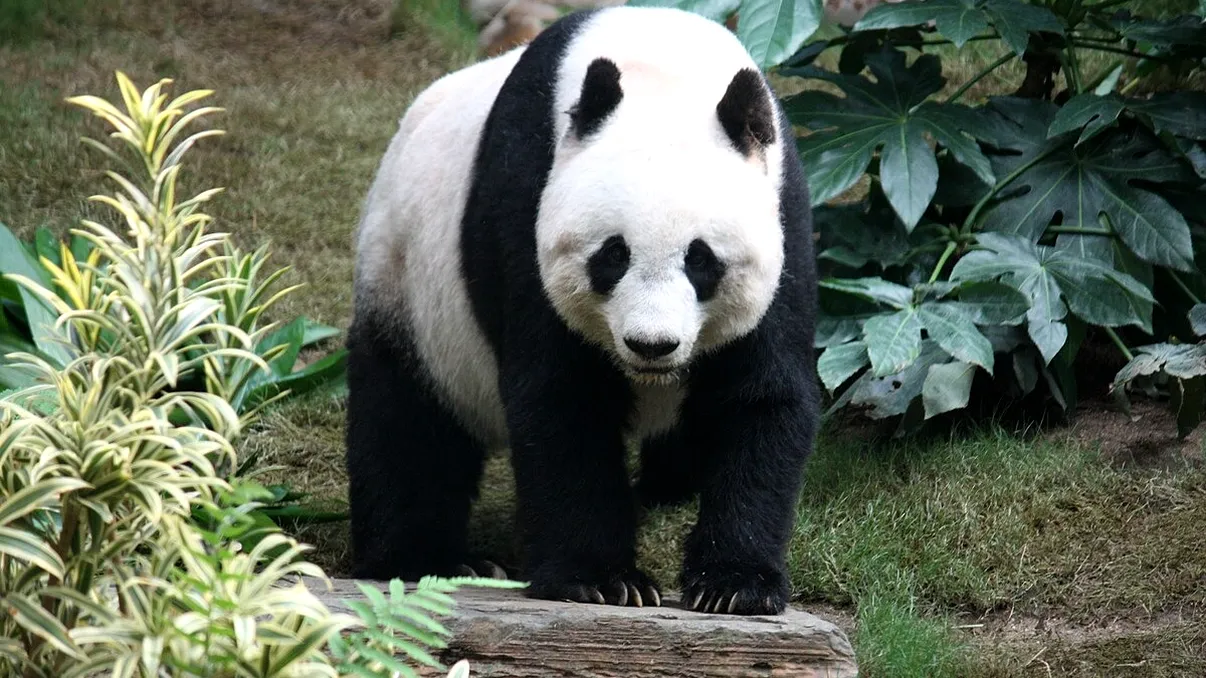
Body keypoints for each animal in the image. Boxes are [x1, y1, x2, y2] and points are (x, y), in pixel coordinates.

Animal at [345, 5, 819, 616]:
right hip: (408, 282)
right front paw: (602, 580)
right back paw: (428, 559)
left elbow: (760, 396)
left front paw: (734, 585)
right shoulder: (525, 197)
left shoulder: (785, 216)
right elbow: (563, 398)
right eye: (613, 255)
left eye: (701, 260)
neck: (664, 72)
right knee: (407, 421)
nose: (651, 345)